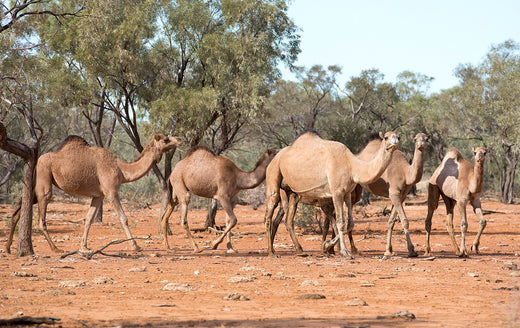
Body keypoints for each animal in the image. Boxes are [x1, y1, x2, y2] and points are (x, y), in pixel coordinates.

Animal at [4, 133, 181, 254]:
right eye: (166, 139)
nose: (179, 139)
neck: (121, 169)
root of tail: (37, 161)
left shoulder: (98, 195)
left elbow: (89, 219)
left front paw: (84, 246)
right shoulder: (111, 191)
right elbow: (123, 218)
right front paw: (135, 246)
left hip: (37, 183)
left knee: (18, 209)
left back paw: (8, 248)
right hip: (44, 175)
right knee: (42, 215)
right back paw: (55, 248)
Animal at [264, 129, 398, 258]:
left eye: (398, 136)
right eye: (386, 137)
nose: (396, 141)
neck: (351, 165)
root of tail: (275, 157)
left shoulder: (347, 194)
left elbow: (350, 224)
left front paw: (327, 245)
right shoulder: (336, 192)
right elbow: (340, 223)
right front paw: (344, 252)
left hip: (292, 192)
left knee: (288, 220)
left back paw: (300, 251)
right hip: (274, 173)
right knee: (269, 213)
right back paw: (271, 252)